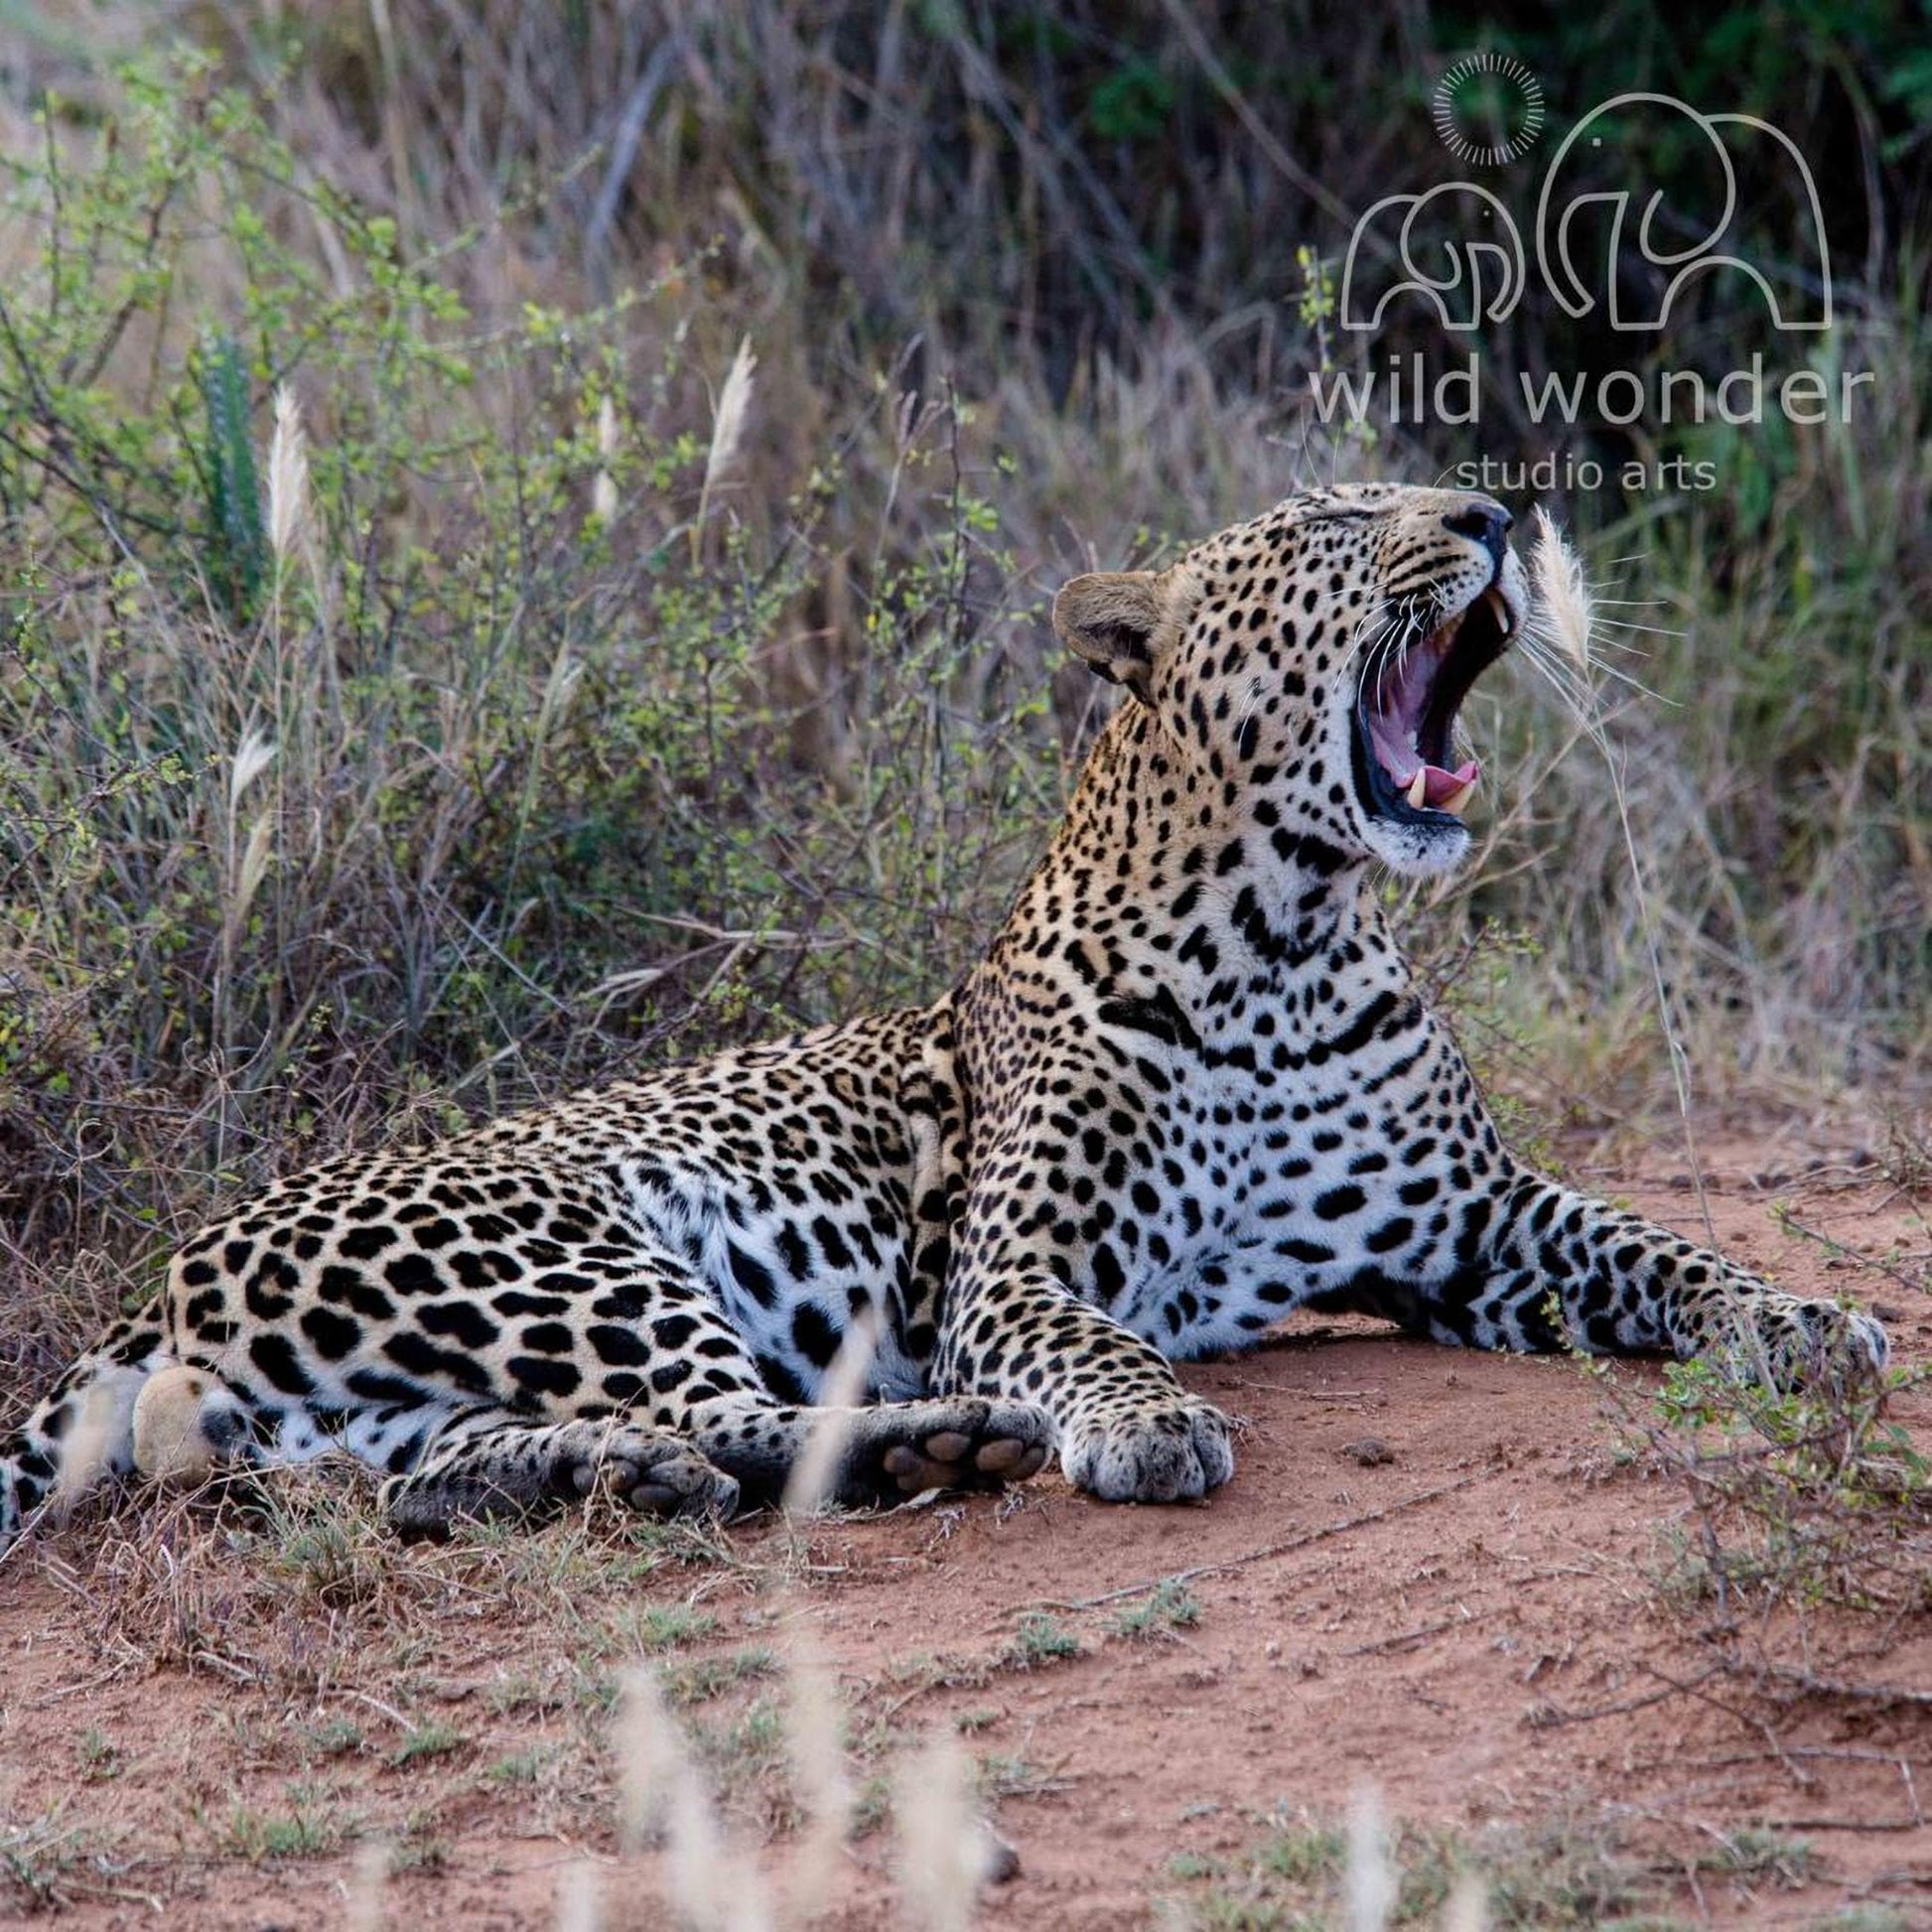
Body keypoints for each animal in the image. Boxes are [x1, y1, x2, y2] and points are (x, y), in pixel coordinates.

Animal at [0, 482, 1887, 1551]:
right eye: (1346, 521)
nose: (1497, 513)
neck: (1285, 937)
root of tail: (162, 1274)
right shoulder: (1020, 1265)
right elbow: (1091, 1340)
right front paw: (1142, 1422)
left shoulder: (1477, 1227)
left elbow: (1660, 1244)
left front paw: (1807, 1319)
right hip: (576, 1251)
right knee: (743, 1417)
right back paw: (943, 1442)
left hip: (398, 1393)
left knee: (449, 1473)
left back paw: (592, 1485)